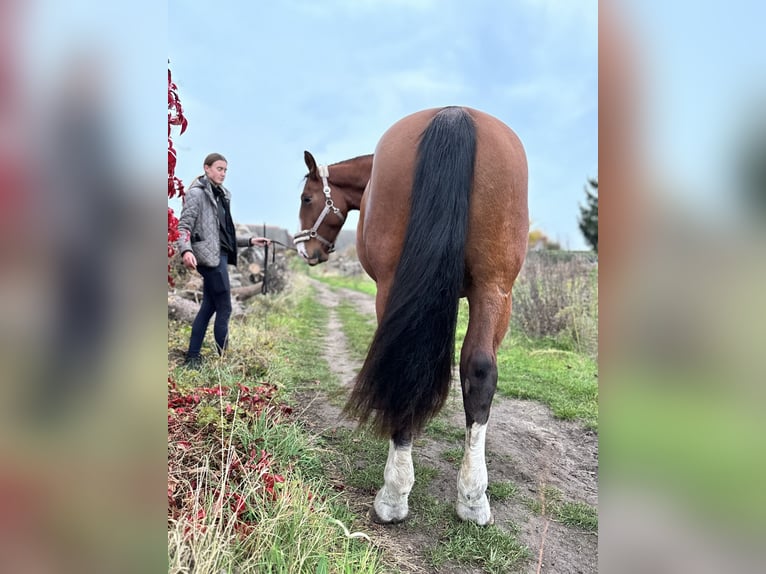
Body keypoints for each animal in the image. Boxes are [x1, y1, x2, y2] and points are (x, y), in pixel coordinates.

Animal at [294, 104, 528, 528]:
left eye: (307, 198)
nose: (306, 251)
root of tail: (455, 114)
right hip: (496, 287)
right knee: (479, 370)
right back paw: (472, 498)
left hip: (399, 284)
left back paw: (393, 493)